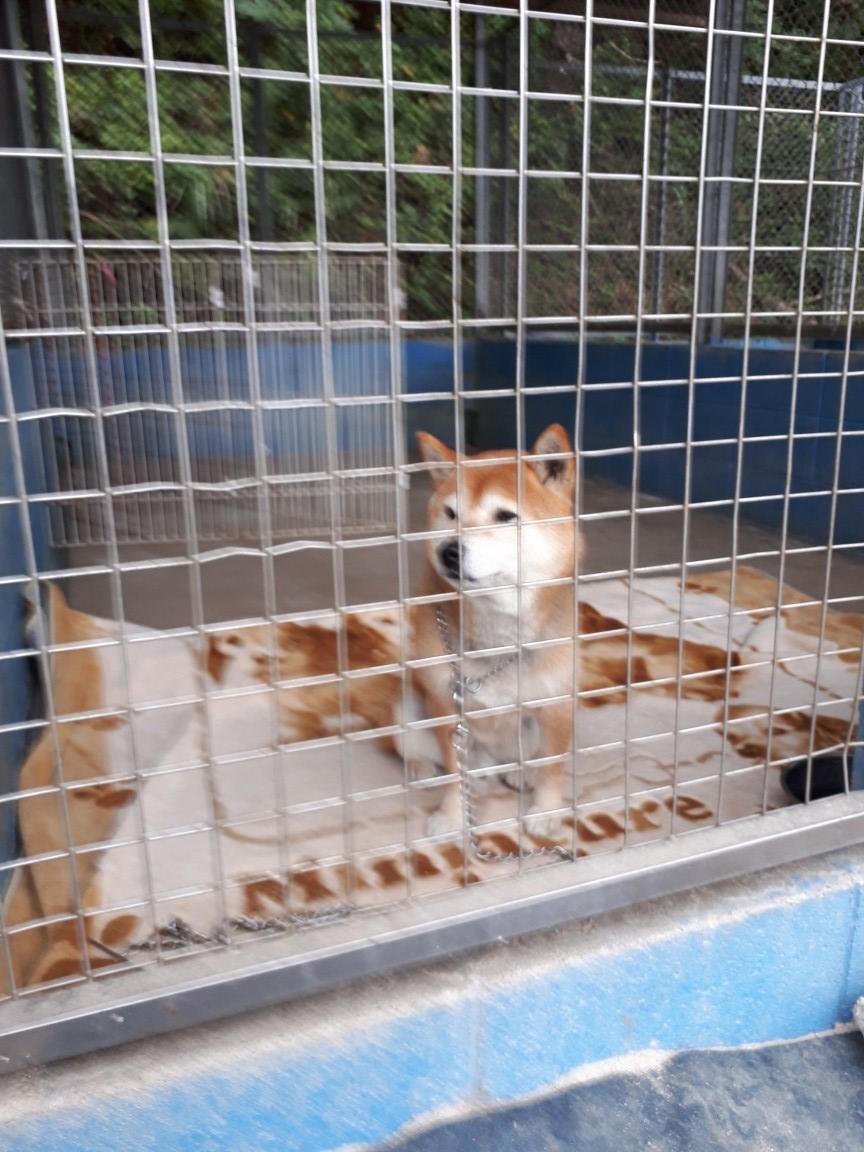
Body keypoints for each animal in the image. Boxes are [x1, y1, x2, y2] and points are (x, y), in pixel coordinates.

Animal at [408, 423, 582, 839]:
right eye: (451, 513)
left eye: (505, 516)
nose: (449, 551)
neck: (498, 639)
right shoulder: (445, 705)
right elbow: (454, 774)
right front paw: (452, 816)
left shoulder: (557, 703)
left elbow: (552, 766)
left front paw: (546, 812)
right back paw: (425, 769)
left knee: (526, 759)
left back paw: (520, 775)